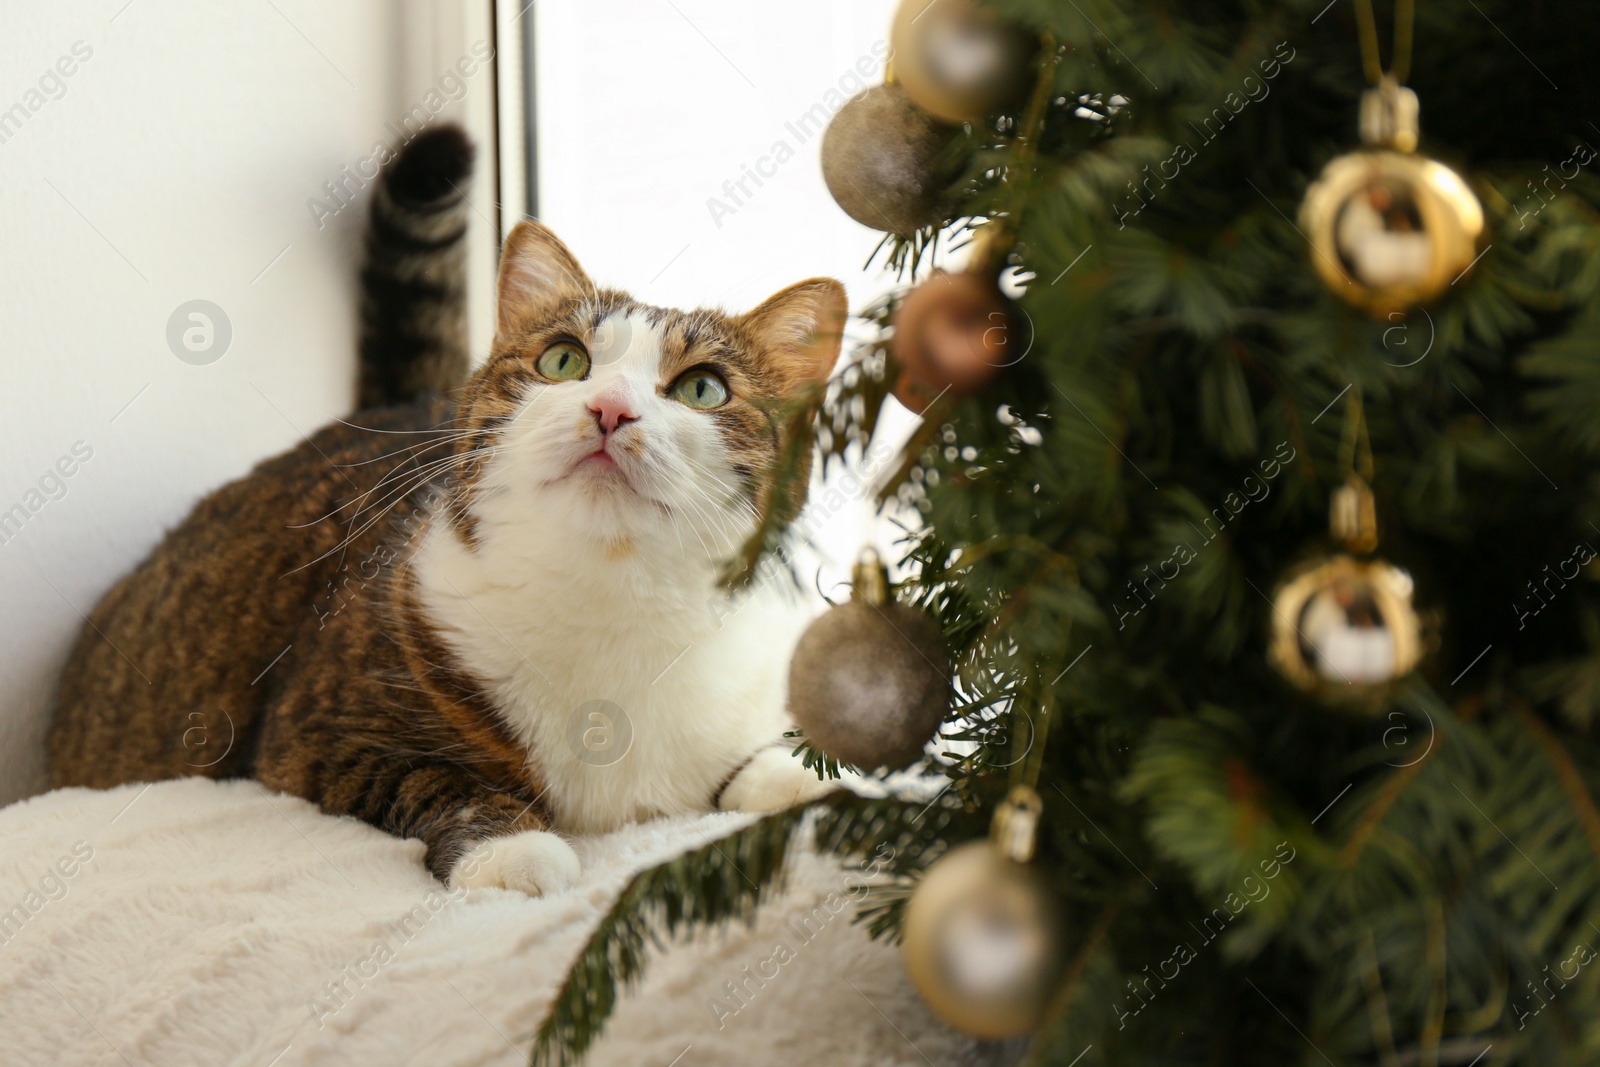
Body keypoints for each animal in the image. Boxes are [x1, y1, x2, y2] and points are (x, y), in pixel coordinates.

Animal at [46, 123, 851, 895]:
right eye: (564, 361)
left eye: (703, 389)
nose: (610, 409)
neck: (610, 592)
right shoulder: (316, 733)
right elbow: (437, 781)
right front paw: (508, 849)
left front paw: (790, 771)